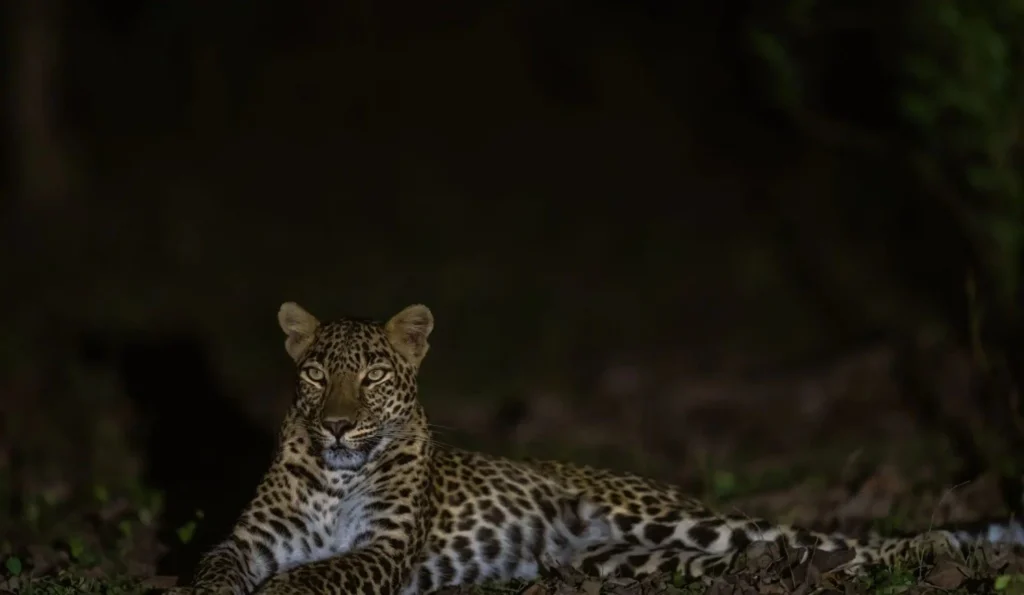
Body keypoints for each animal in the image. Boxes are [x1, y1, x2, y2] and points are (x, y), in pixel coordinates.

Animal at [172, 302, 1024, 595]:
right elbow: (214, 565)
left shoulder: (380, 550)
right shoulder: (251, 538)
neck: (337, 477)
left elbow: (321, 570)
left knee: (837, 541)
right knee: (786, 553)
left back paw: (939, 549)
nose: (338, 426)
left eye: (374, 376)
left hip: (681, 520)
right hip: (631, 560)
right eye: (317, 375)